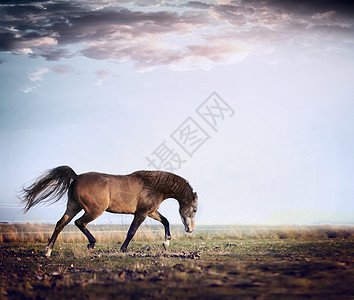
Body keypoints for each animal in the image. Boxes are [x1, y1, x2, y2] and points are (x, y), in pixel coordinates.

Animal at [19, 165, 198, 256]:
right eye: (194, 209)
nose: (190, 229)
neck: (153, 186)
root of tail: (76, 177)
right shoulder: (141, 213)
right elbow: (131, 232)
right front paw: (123, 249)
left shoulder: (150, 212)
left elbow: (166, 221)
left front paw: (166, 244)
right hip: (94, 210)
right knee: (79, 223)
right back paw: (91, 244)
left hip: (73, 207)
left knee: (60, 224)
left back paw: (48, 251)